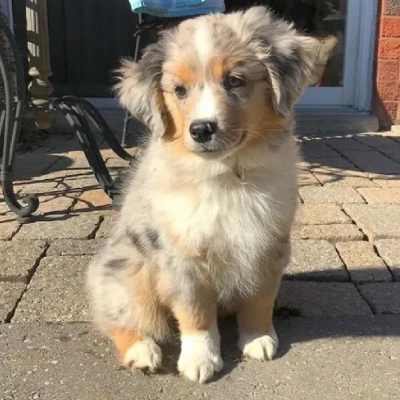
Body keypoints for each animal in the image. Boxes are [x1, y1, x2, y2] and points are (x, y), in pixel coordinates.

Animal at [88, 4, 322, 382]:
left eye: (235, 81)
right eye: (180, 90)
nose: (201, 129)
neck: (228, 174)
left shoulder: (268, 242)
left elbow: (260, 298)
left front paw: (258, 337)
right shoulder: (182, 255)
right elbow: (195, 312)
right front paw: (200, 359)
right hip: (126, 275)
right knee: (121, 319)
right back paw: (142, 351)